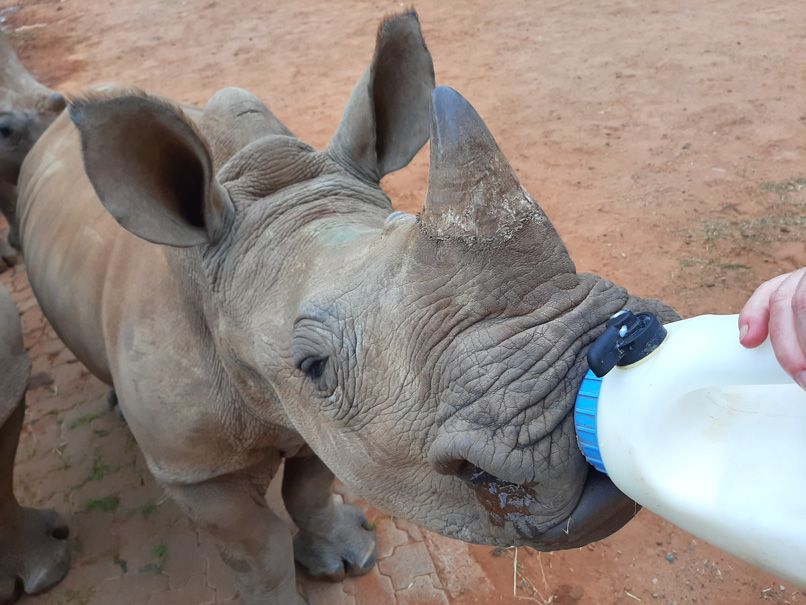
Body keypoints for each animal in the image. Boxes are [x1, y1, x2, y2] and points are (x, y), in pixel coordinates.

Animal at [16, 11, 678, 604]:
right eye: (312, 365)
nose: (596, 355)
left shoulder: (329, 427)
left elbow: (310, 488)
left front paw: (346, 559)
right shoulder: (196, 465)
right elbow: (255, 549)